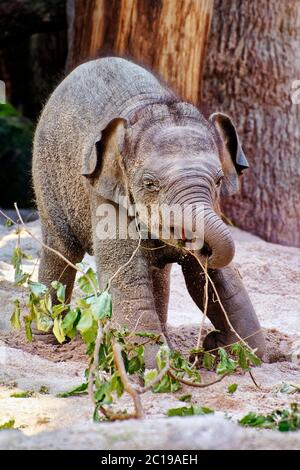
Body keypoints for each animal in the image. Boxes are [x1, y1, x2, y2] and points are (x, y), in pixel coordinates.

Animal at [32, 58, 266, 360]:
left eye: (218, 180)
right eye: (150, 184)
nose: (210, 340)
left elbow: (209, 277)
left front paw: (239, 351)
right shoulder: (105, 193)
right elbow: (128, 276)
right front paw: (159, 361)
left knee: (159, 272)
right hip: (47, 177)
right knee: (61, 251)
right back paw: (47, 344)